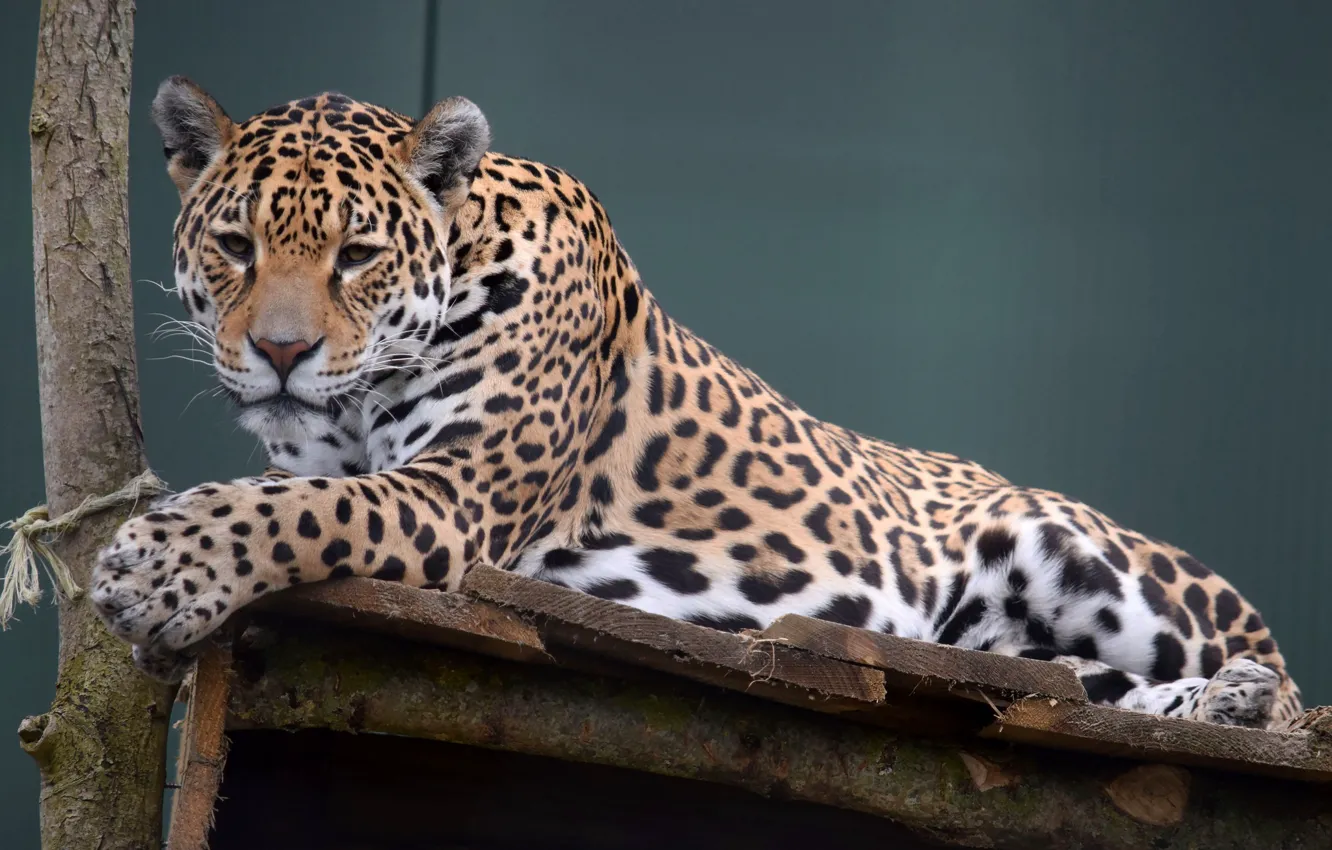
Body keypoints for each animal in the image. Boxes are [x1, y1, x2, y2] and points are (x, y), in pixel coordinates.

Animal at [91, 76, 1301, 730]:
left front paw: (155, 569)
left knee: (1282, 694)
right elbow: (289, 490)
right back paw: (1216, 701)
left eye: (357, 255)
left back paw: (1247, 697)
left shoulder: (451, 497)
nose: (280, 353)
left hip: (1068, 546)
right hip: (1018, 640)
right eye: (236, 246)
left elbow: (296, 509)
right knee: (1081, 686)